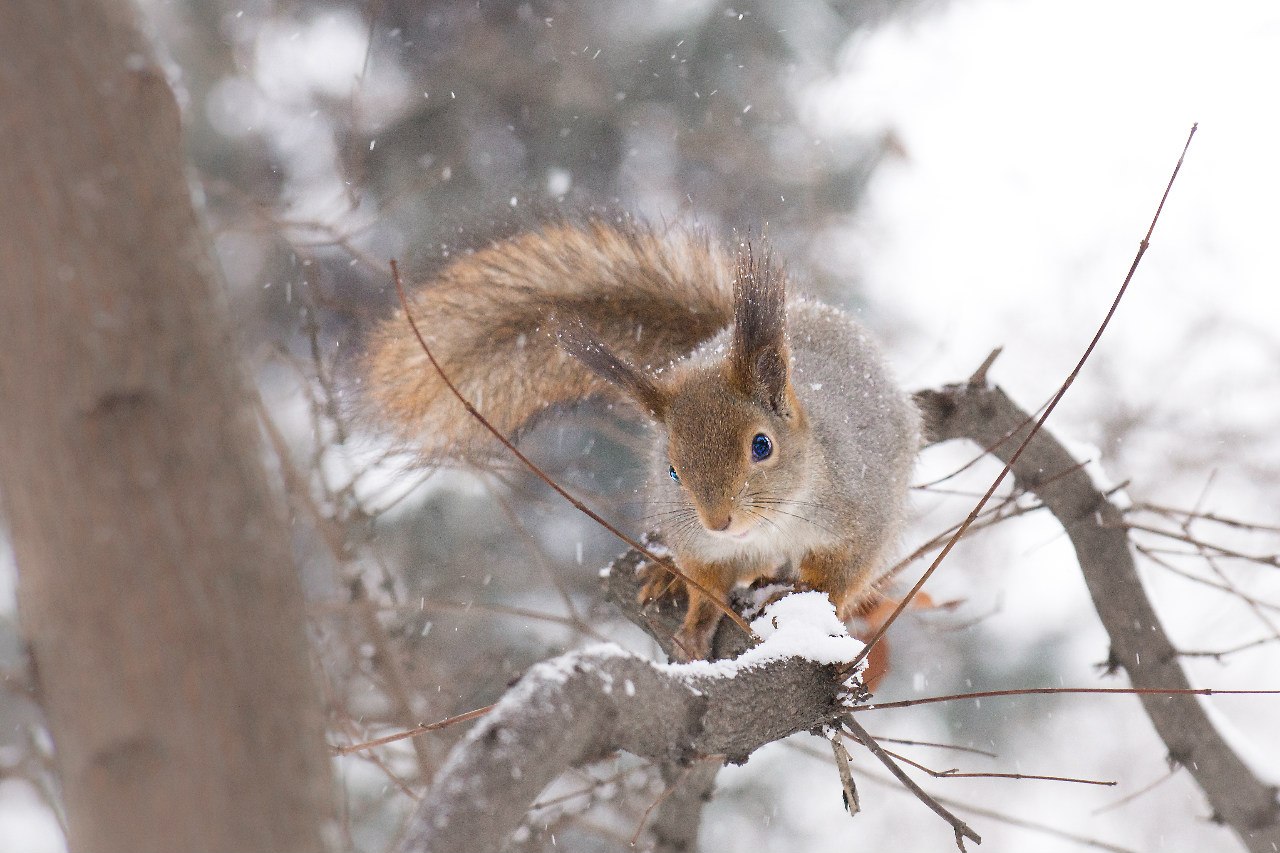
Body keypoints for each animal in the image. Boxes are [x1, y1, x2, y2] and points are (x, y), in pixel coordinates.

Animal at [360, 212, 921, 655]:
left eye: (762, 446)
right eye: (671, 469)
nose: (718, 521)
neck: (771, 526)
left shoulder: (859, 512)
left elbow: (842, 578)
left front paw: (806, 599)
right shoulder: (698, 542)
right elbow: (706, 583)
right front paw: (695, 621)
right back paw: (666, 572)